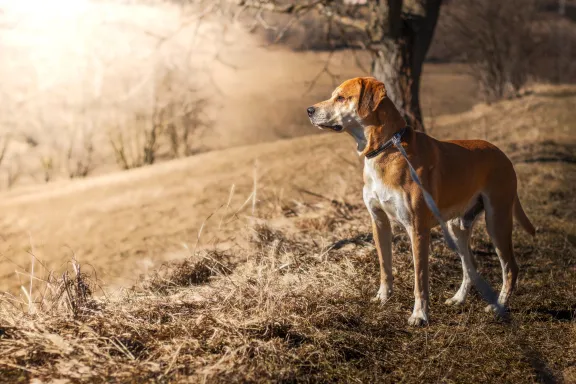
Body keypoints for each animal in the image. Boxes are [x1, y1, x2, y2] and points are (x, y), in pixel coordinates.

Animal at [306, 76, 536, 326]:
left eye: (340, 97)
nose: (309, 110)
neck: (386, 148)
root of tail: (502, 154)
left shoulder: (417, 229)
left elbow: (420, 278)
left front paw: (419, 314)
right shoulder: (379, 221)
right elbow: (385, 265)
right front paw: (383, 297)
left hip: (497, 220)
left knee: (510, 267)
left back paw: (498, 306)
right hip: (457, 226)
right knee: (470, 265)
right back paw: (458, 299)